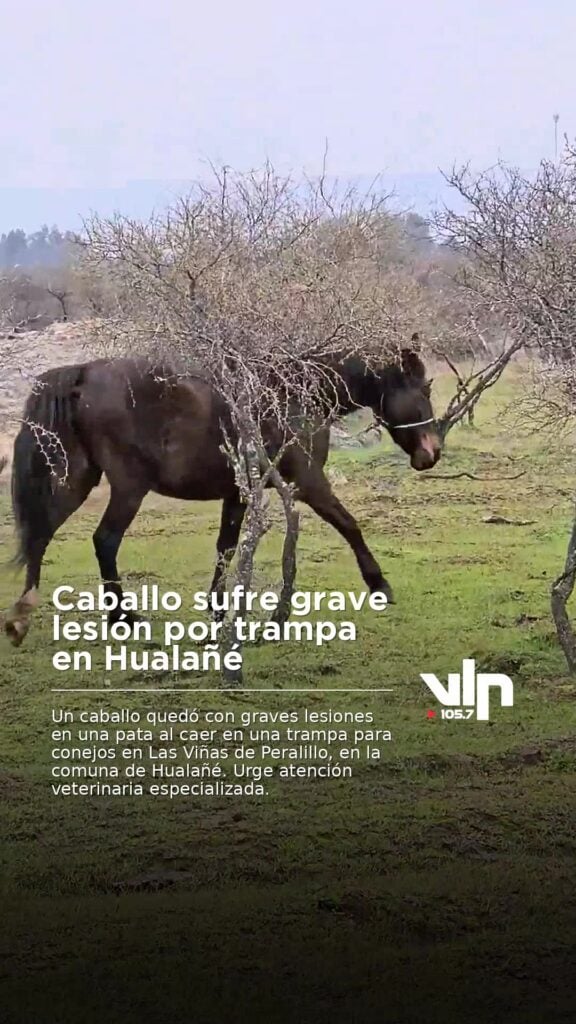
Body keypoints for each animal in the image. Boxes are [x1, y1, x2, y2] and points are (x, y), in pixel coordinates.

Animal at [4, 345, 441, 645]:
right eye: (423, 389)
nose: (432, 453)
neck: (293, 394)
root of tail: (83, 374)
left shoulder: (237, 495)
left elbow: (226, 548)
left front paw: (216, 614)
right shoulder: (309, 483)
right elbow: (349, 525)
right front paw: (379, 585)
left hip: (77, 478)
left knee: (40, 536)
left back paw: (22, 616)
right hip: (128, 487)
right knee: (104, 541)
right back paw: (124, 619)